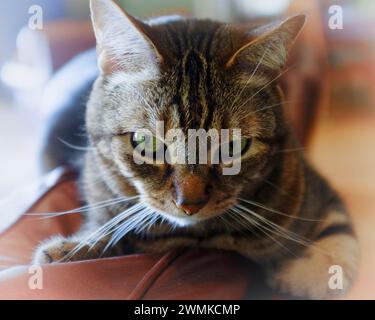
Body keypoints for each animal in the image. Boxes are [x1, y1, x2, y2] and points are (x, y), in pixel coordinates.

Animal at [33, 0, 362, 300]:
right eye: (147, 143)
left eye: (233, 147)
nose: (189, 203)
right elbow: (108, 232)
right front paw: (71, 249)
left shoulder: (318, 190)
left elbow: (337, 243)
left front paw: (301, 274)